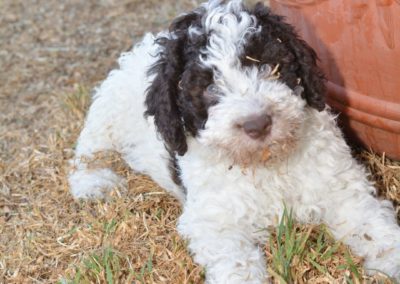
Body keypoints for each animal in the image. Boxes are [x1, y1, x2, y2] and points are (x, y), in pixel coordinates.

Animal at [67, 1, 398, 282]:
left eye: (269, 65)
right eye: (206, 87)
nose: (257, 124)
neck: (265, 162)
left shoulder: (342, 188)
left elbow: (372, 227)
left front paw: (392, 260)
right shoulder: (213, 220)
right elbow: (235, 262)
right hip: (107, 114)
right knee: (89, 150)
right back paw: (95, 183)